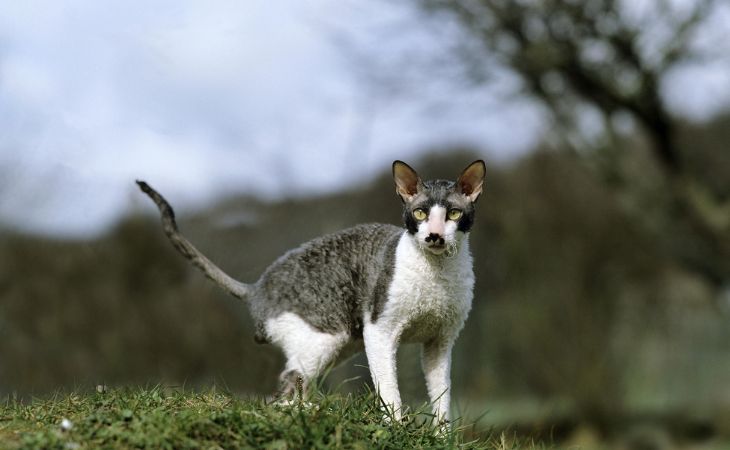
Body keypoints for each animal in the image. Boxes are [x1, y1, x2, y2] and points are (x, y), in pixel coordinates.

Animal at [136, 160, 484, 424]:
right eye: (420, 214)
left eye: (453, 214)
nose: (435, 236)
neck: (437, 273)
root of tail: (257, 288)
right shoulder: (380, 330)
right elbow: (389, 389)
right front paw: (396, 428)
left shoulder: (440, 341)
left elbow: (442, 395)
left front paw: (442, 437)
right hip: (326, 335)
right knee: (279, 393)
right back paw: (308, 412)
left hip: (340, 343)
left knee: (295, 384)